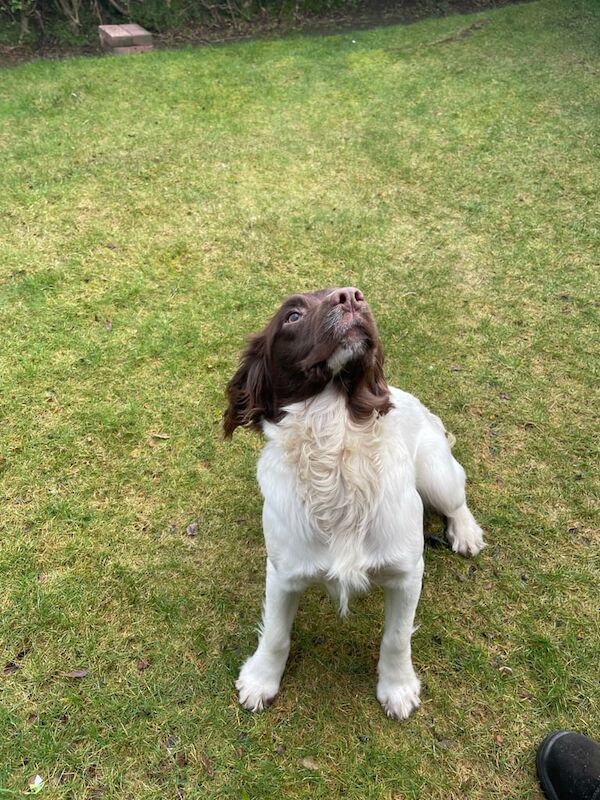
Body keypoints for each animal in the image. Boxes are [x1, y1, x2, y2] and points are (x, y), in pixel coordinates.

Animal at [223, 288, 486, 720]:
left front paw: (397, 688)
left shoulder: (406, 572)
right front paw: (261, 679)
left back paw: (466, 532)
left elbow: (397, 637)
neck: (336, 447)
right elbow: (276, 633)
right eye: (292, 315)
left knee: (456, 496)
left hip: (435, 472)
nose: (351, 295)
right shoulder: (283, 571)